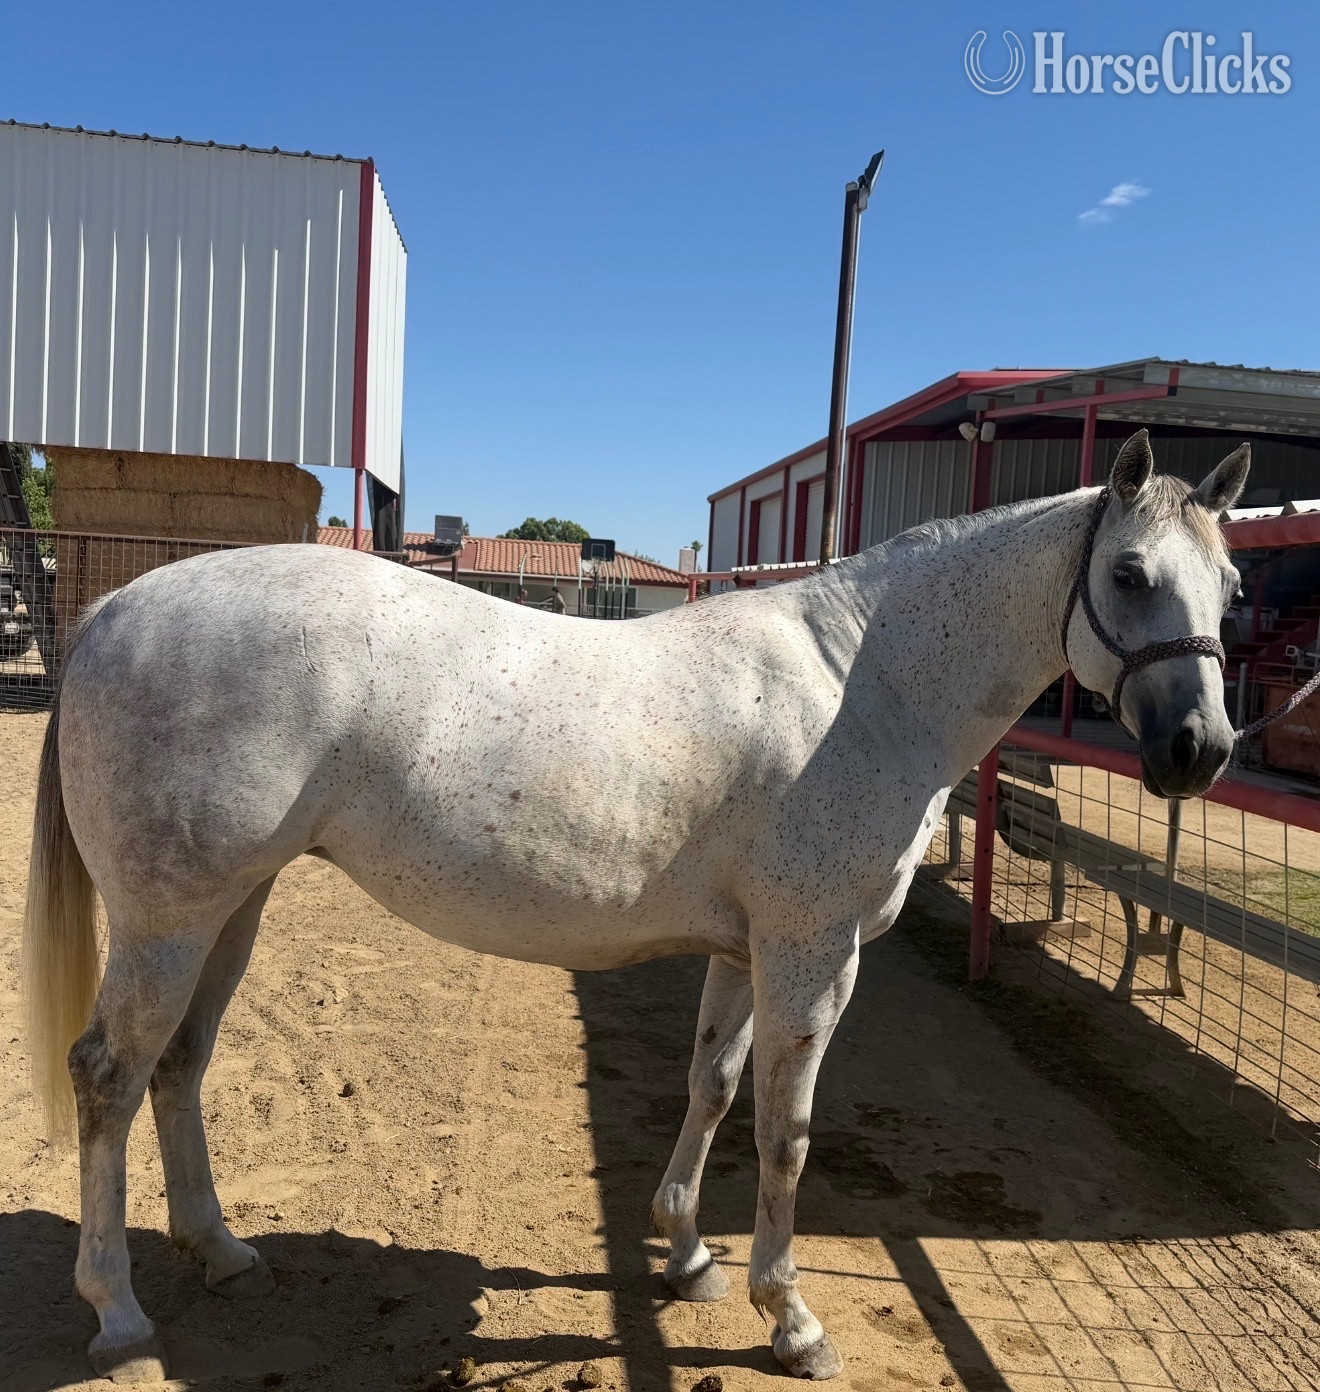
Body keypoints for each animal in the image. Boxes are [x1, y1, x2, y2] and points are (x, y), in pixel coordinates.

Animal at [22, 429, 1249, 1381]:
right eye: (1129, 573)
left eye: (1231, 589)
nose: (1199, 751)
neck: (864, 681)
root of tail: (116, 610)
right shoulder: (814, 954)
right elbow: (786, 1132)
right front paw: (790, 1318)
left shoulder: (746, 951)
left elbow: (711, 1087)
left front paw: (690, 1256)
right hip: (167, 924)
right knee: (108, 1078)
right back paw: (118, 1312)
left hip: (231, 910)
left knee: (179, 1068)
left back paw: (220, 1249)